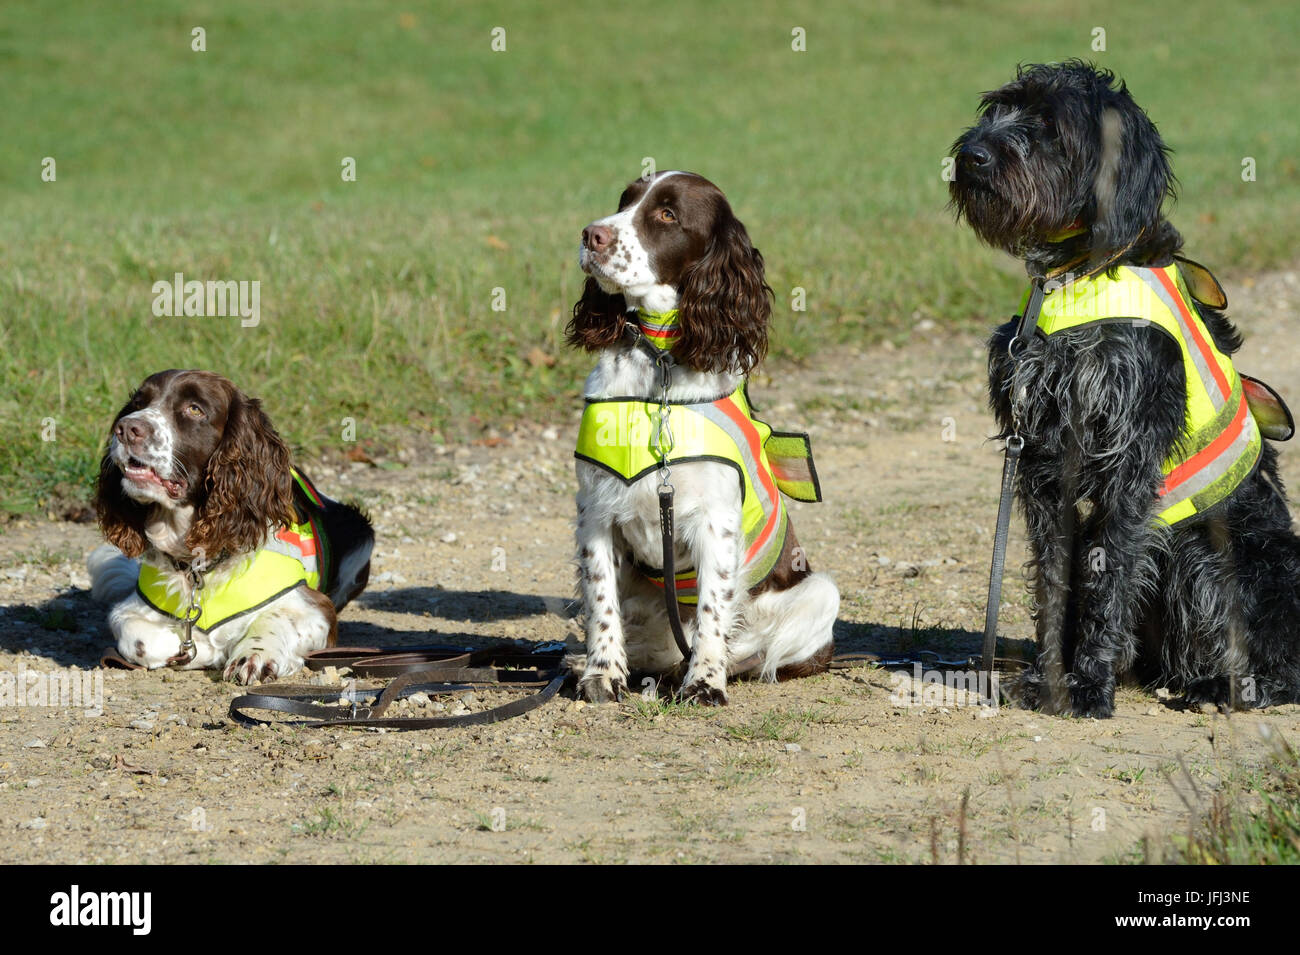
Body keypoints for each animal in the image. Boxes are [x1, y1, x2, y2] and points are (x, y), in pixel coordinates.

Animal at [946, 59, 1300, 717]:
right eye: (997, 109)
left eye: (1050, 125)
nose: (972, 156)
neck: (1077, 275)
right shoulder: (1042, 457)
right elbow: (1055, 576)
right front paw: (1051, 675)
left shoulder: (1129, 457)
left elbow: (1109, 576)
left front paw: (1087, 685)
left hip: (1217, 551)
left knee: (1280, 666)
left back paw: (1220, 688)